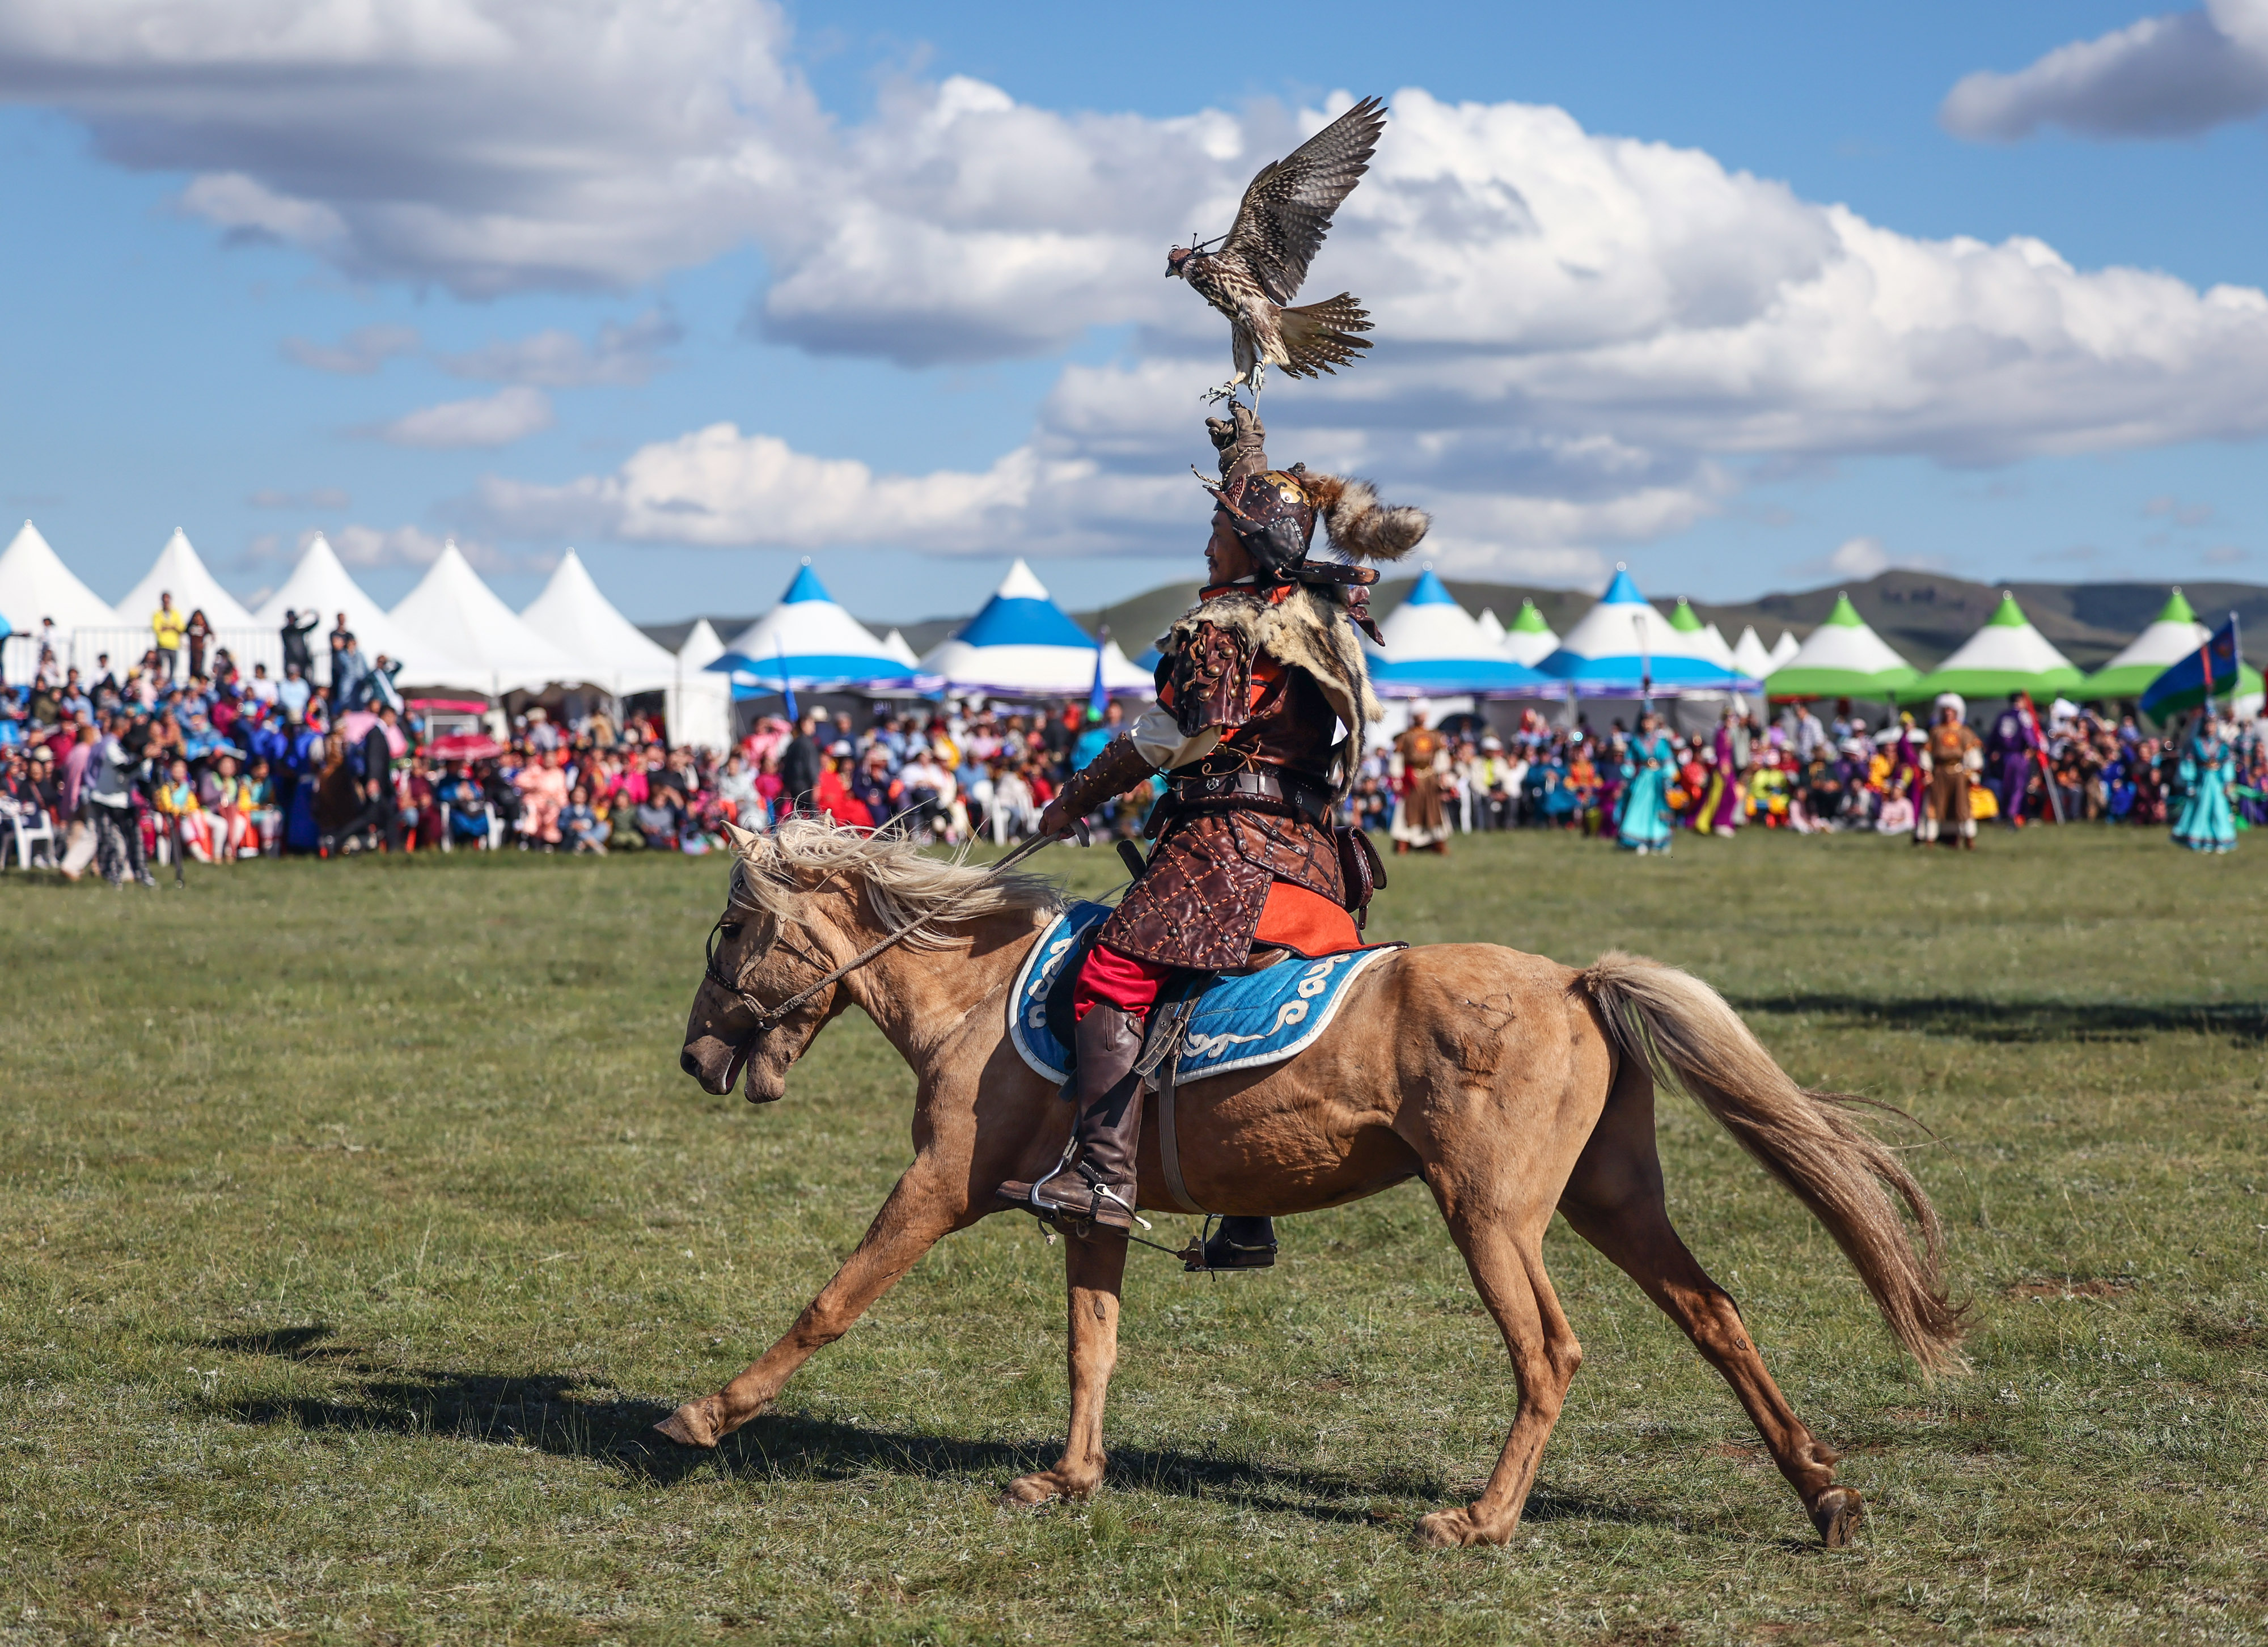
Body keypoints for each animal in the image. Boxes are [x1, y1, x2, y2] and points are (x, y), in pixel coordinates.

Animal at [662, 821, 1969, 1551]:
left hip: (1492, 1215)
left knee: (1548, 1352)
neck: (977, 996)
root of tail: (1572, 981)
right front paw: (1070, 1478)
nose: (694, 1057)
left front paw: (708, 1414)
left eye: (729, 932)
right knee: (1715, 1316)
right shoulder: (1089, 1207)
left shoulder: (939, 1183)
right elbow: (1092, 1342)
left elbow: (834, 1300)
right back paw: (1821, 1495)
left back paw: (1482, 1522)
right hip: (1613, 1200)